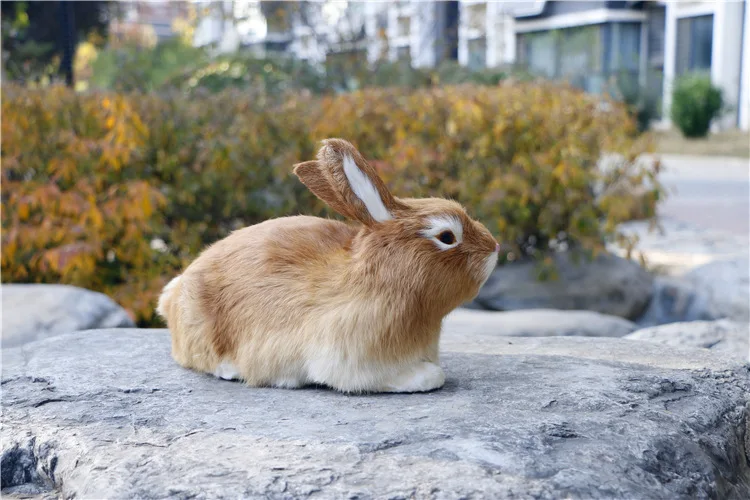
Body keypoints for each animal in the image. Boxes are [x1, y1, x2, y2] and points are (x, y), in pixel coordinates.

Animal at [156, 138, 499, 393]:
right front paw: (427, 377)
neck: (379, 279)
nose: (495, 248)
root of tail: (172, 296)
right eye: (447, 236)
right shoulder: (352, 357)